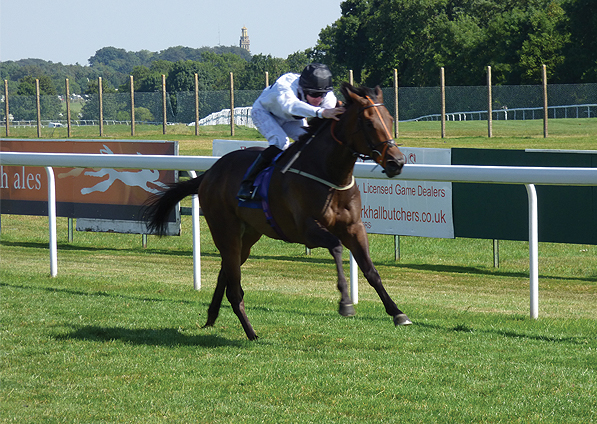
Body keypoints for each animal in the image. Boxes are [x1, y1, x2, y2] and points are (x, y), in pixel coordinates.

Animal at [147, 83, 412, 342]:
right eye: (368, 123)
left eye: (390, 119)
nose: (397, 162)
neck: (328, 174)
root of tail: (210, 173)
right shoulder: (306, 229)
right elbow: (336, 247)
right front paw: (345, 303)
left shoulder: (354, 228)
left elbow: (370, 270)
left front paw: (398, 313)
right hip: (225, 230)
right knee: (234, 287)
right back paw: (251, 333)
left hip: (247, 236)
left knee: (227, 272)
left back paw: (212, 317)